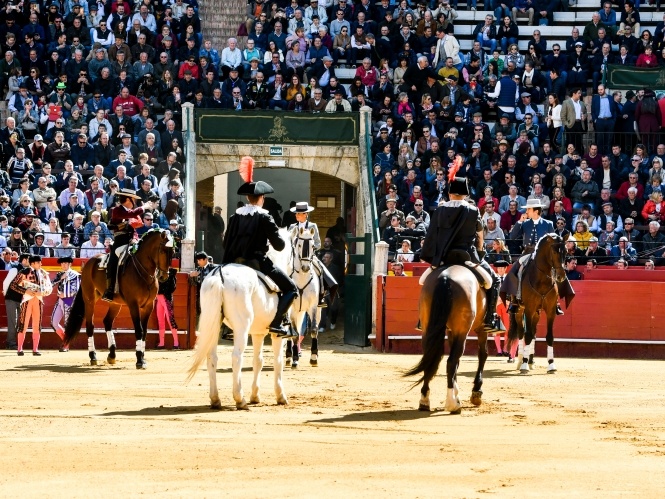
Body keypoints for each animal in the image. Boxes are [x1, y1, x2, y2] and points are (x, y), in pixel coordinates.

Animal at [63, 229, 174, 368]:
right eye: (163, 251)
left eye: (173, 252)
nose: (164, 276)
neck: (143, 271)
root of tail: (90, 262)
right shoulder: (133, 304)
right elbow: (139, 330)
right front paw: (139, 359)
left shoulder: (149, 306)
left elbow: (144, 331)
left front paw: (143, 358)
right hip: (89, 299)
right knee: (90, 326)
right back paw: (93, 356)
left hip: (115, 303)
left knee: (107, 321)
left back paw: (112, 355)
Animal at [185, 229, 292, 410]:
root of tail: (219, 275)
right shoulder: (277, 335)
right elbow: (278, 361)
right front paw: (280, 396)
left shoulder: (258, 333)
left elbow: (258, 361)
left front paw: (255, 396)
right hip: (241, 328)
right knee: (236, 357)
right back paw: (239, 399)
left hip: (215, 326)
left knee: (212, 357)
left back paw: (215, 399)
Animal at [402, 266, 490, 414]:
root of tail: (445, 278)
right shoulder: (480, 328)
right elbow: (482, 354)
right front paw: (476, 392)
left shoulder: (449, 331)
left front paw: (457, 390)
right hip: (462, 330)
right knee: (451, 361)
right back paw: (453, 404)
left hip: (428, 328)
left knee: (430, 359)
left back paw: (425, 400)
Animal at [508, 234, 564, 376]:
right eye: (554, 252)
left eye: (566, 251)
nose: (561, 276)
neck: (542, 279)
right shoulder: (529, 309)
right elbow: (527, 335)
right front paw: (524, 365)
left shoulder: (550, 311)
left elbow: (549, 336)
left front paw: (551, 364)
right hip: (519, 311)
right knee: (522, 333)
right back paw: (521, 360)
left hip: (537, 313)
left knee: (533, 333)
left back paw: (531, 361)